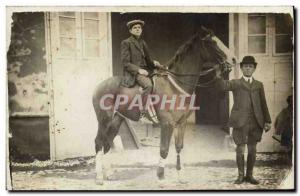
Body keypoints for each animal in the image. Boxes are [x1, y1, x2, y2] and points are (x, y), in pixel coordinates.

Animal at [92, 26, 236, 185]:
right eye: (212, 42)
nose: (233, 59)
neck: (176, 85)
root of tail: (99, 86)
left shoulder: (181, 123)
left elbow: (179, 147)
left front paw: (181, 176)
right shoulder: (167, 123)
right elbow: (164, 149)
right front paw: (161, 176)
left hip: (118, 119)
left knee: (107, 142)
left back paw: (109, 174)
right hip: (104, 120)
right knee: (99, 142)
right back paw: (99, 177)